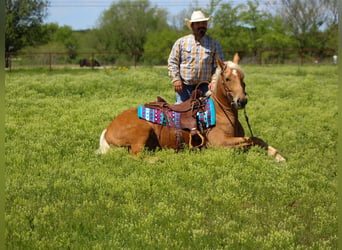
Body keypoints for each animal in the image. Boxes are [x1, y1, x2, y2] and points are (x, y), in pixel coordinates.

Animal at [96, 52, 286, 162]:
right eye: (227, 79)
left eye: (242, 78)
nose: (242, 101)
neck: (222, 113)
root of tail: (107, 130)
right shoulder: (219, 143)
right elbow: (249, 142)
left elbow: (256, 139)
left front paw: (278, 156)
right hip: (141, 133)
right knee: (136, 155)